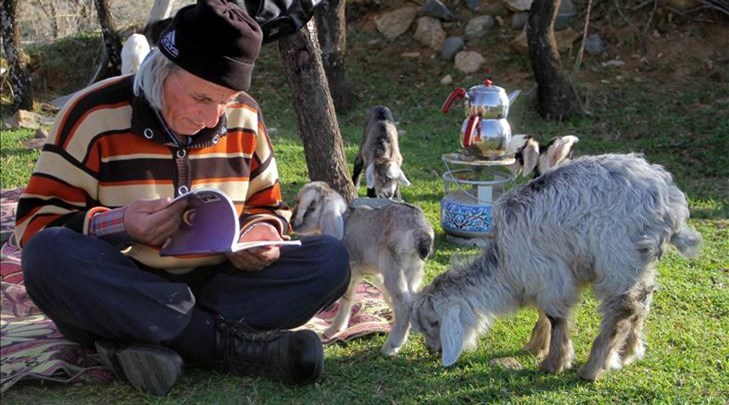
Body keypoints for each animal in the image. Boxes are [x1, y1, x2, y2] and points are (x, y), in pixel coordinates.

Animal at [290, 181, 432, 354]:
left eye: (311, 207)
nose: (292, 223)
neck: (345, 221)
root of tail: (421, 232)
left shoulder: (351, 270)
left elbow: (346, 298)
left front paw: (333, 330)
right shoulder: (371, 271)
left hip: (392, 267)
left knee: (404, 305)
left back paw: (391, 346)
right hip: (412, 271)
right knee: (411, 300)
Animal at [410, 153, 700, 380]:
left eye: (435, 322)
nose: (432, 350)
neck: (505, 266)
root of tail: (670, 202)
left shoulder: (548, 273)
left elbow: (556, 316)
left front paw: (554, 363)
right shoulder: (551, 277)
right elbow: (545, 313)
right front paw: (535, 346)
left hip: (618, 257)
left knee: (621, 311)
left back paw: (592, 369)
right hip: (640, 264)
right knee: (640, 304)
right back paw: (628, 353)